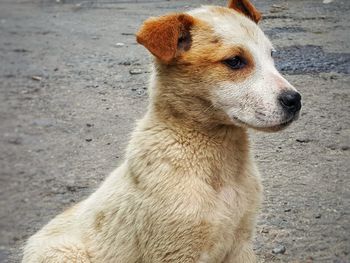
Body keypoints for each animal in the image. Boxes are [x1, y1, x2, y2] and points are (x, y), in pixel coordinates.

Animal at [21, 1, 300, 262]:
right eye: (234, 61)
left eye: (272, 56)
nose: (295, 100)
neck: (219, 168)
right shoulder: (175, 252)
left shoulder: (241, 245)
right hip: (66, 254)